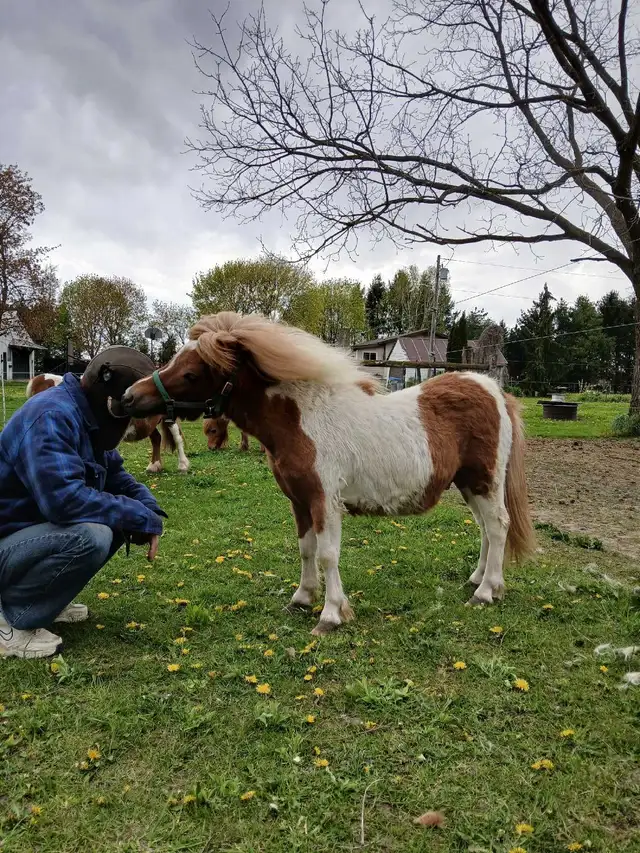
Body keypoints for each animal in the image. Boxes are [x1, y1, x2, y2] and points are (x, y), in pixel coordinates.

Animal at [121, 312, 535, 636]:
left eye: (191, 373)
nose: (128, 397)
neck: (300, 419)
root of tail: (494, 391)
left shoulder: (324, 501)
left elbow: (327, 554)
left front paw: (331, 614)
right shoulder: (299, 500)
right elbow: (306, 550)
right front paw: (302, 598)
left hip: (484, 480)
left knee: (498, 525)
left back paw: (486, 591)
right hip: (468, 483)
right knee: (486, 529)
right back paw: (477, 579)